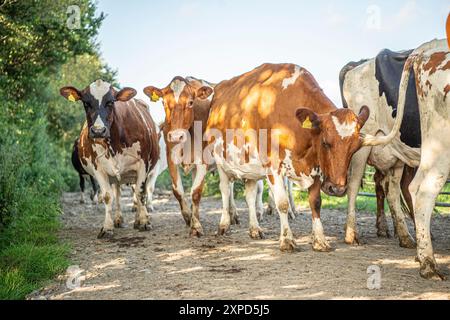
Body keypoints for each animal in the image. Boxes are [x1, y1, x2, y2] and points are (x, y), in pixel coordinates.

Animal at [59, 80, 158, 238]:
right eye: (86, 103)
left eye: (111, 102)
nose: (98, 131)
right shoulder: (98, 167)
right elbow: (107, 196)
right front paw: (107, 227)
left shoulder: (142, 164)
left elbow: (140, 192)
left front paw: (144, 222)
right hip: (114, 177)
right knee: (117, 194)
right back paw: (118, 219)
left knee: (136, 192)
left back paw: (137, 220)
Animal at [206, 63, 378, 251]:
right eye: (325, 142)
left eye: (355, 148)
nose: (337, 189)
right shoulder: (273, 167)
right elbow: (282, 203)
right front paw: (287, 240)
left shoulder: (315, 168)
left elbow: (315, 202)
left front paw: (320, 239)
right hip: (220, 160)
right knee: (224, 190)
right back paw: (224, 225)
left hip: (249, 167)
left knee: (250, 195)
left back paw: (255, 229)